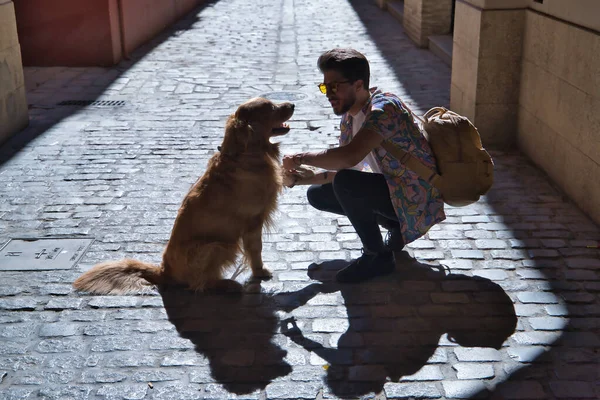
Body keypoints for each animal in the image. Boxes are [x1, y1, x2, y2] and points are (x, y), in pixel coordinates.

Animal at [75, 97, 296, 294]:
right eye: (270, 107)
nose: (293, 104)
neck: (245, 154)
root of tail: (163, 271)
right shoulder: (252, 221)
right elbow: (256, 250)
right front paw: (260, 271)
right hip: (218, 245)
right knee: (200, 283)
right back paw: (227, 285)